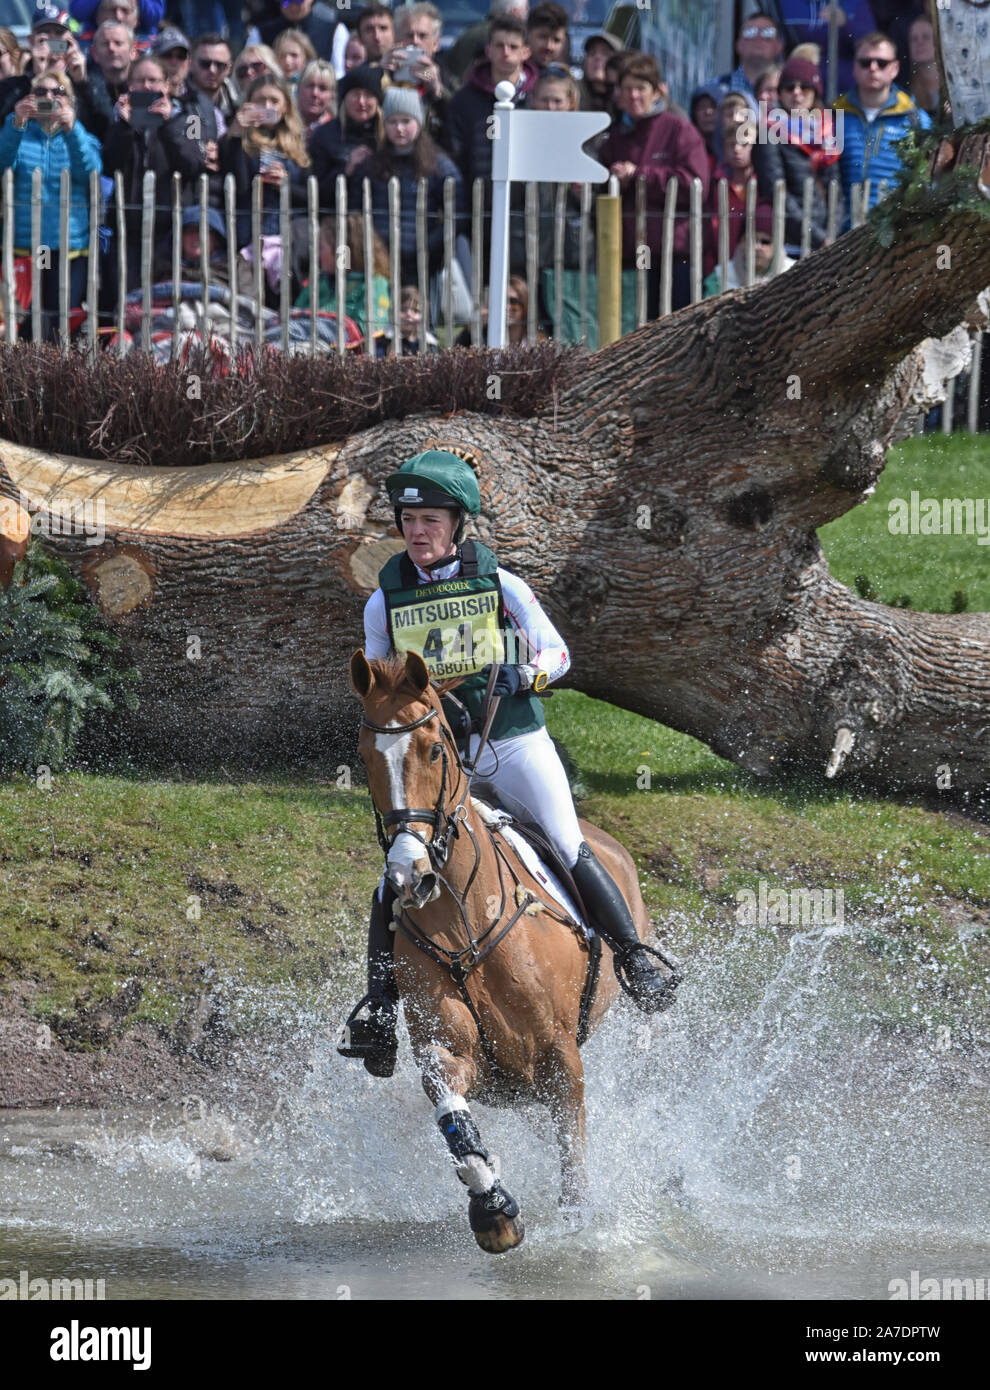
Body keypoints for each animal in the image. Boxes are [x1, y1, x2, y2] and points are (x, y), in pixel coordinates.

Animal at [350, 647, 681, 1251]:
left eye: (435, 749)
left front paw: (579, 1232)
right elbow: (452, 1112)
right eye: (365, 758)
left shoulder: (560, 1057)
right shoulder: (452, 1054)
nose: (409, 875)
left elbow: (573, 1160)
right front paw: (493, 1208)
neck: (464, 921)